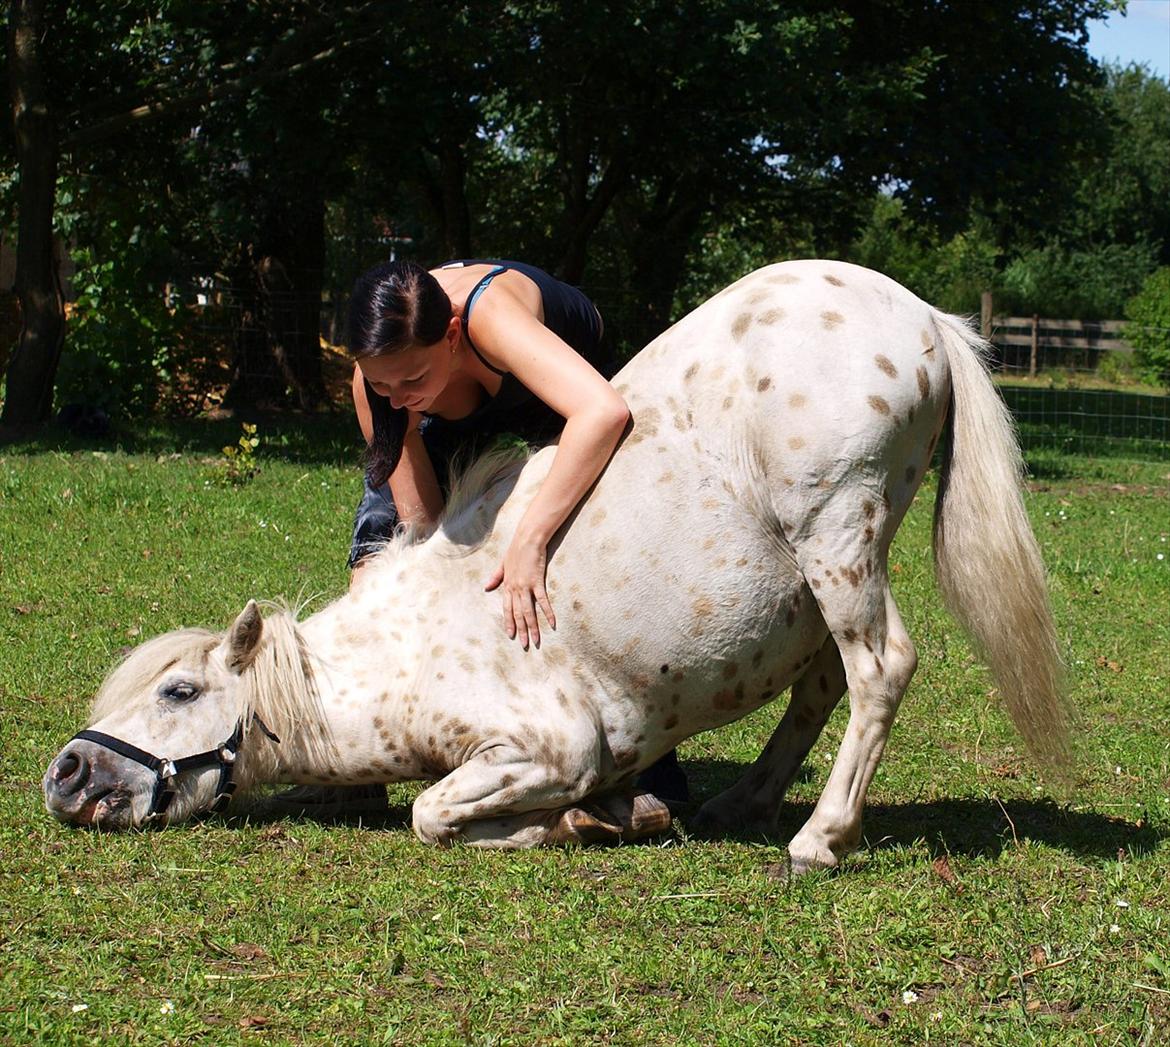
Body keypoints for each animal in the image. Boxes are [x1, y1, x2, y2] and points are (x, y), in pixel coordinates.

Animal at [43, 260, 1067, 872]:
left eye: (176, 690)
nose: (65, 772)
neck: (408, 646)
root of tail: (917, 308)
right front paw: (623, 812)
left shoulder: (546, 745)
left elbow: (432, 813)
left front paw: (581, 820)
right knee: (823, 683)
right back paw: (742, 802)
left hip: (838, 537)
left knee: (879, 669)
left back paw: (818, 838)